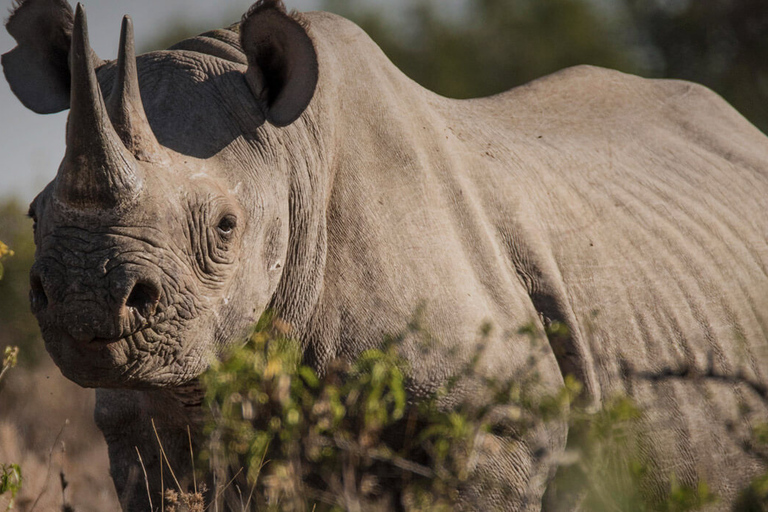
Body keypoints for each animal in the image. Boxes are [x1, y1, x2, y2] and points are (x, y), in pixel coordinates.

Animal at [1, 0, 768, 510]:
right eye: (35, 214)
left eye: (224, 227)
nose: (86, 297)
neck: (294, 160)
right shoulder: (148, 427)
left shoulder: (493, 427)